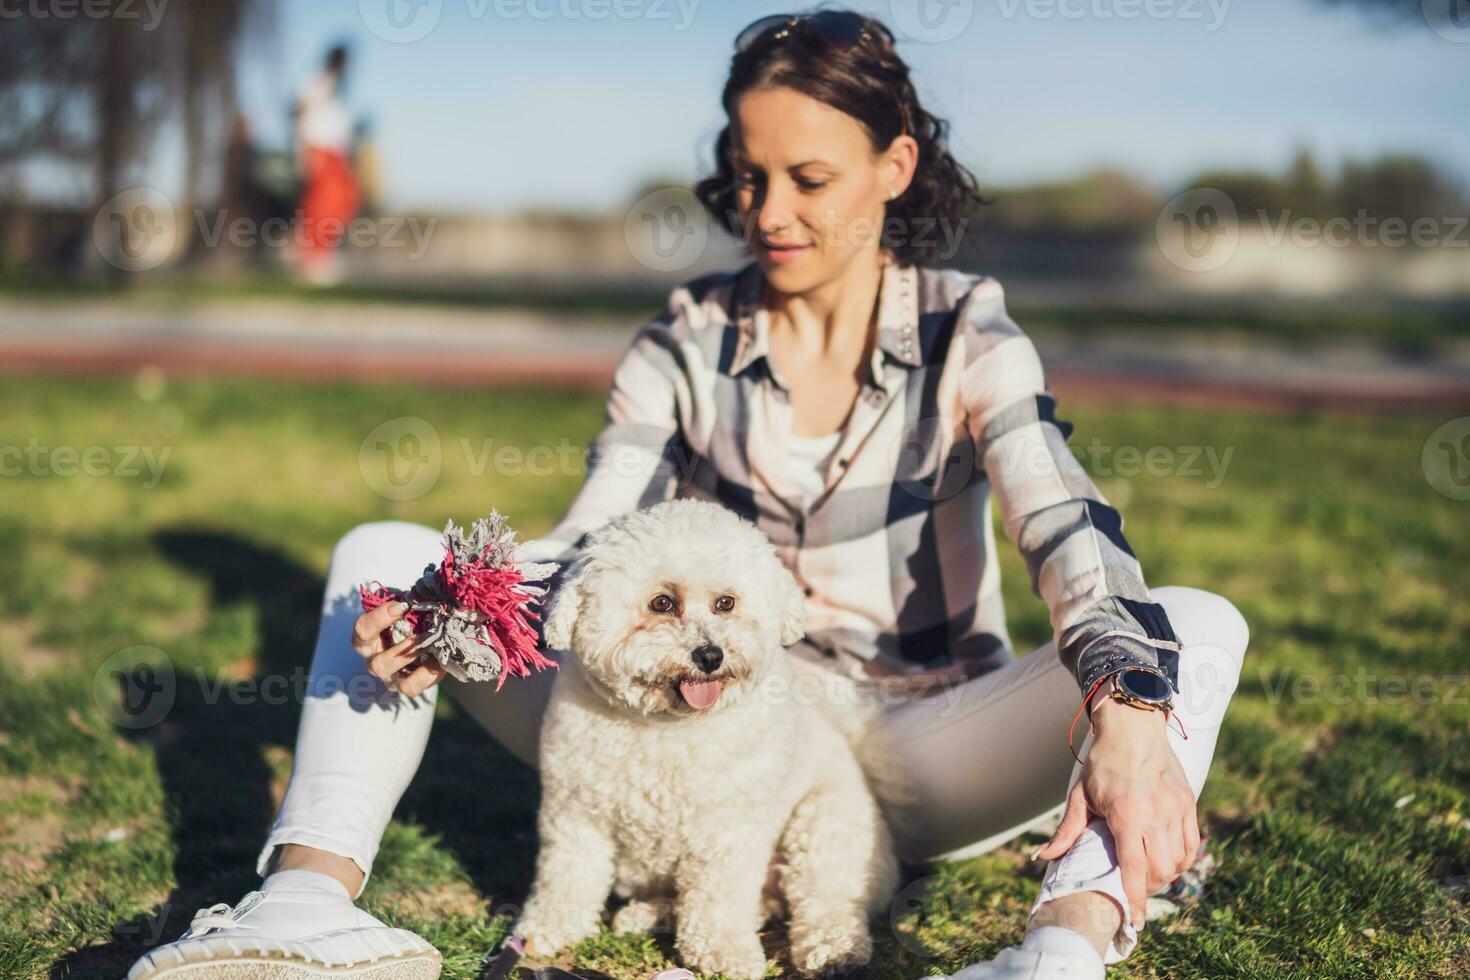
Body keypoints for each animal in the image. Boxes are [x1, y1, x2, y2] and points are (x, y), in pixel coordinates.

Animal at [517, 502, 905, 975]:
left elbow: (719, 898)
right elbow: (566, 879)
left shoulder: (728, 831)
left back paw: (834, 949)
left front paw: (725, 950)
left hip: (828, 825)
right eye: (662, 603)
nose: (710, 655)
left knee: (827, 898)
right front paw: (544, 930)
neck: (666, 728)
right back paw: (648, 915)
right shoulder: (575, 815)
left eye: (726, 602)